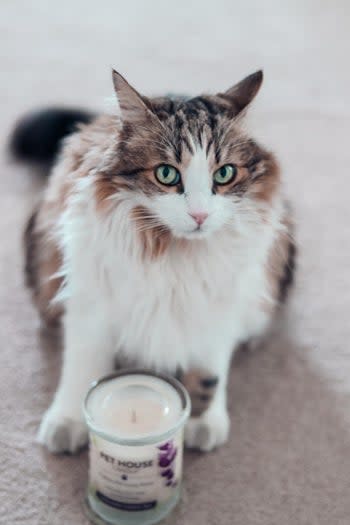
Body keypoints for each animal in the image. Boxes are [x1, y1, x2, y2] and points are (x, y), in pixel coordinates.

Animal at [13, 69, 296, 452]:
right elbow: (82, 364)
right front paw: (69, 420)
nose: (199, 215)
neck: (173, 254)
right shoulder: (90, 298)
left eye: (224, 174)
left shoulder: (219, 303)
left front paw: (203, 417)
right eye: (166, 174)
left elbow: (210, 362)